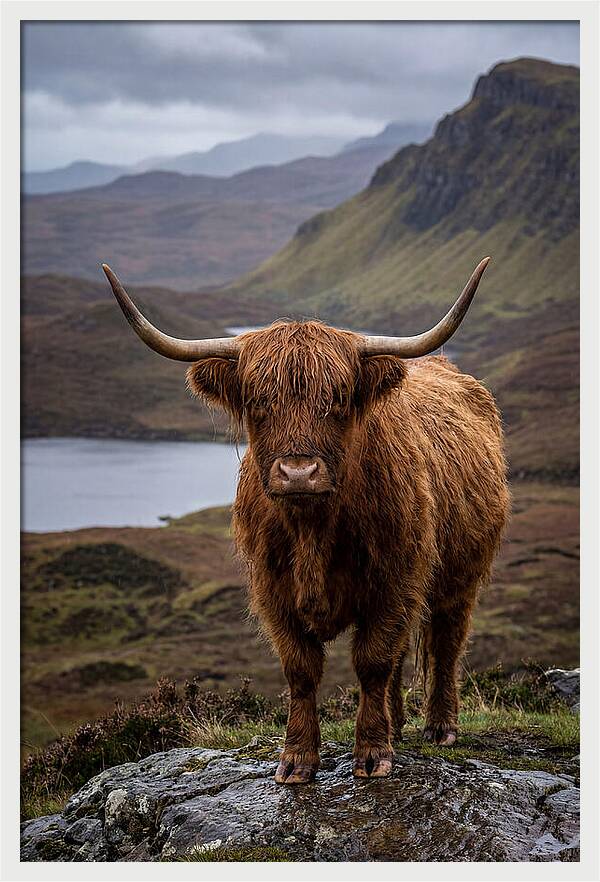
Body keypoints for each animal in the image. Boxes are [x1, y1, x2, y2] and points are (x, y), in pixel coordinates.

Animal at [102, 258, 509, 784]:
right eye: (258, 402)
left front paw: (372, 754)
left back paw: (440, 727)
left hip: (461, 576)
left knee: (446, 642)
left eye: (337, 399)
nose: (298, 472)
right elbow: (302, 668)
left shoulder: (395, 581)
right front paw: (297, 759)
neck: (313, 529)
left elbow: (372, 659)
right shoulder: (273, 589)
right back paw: (399, 724)